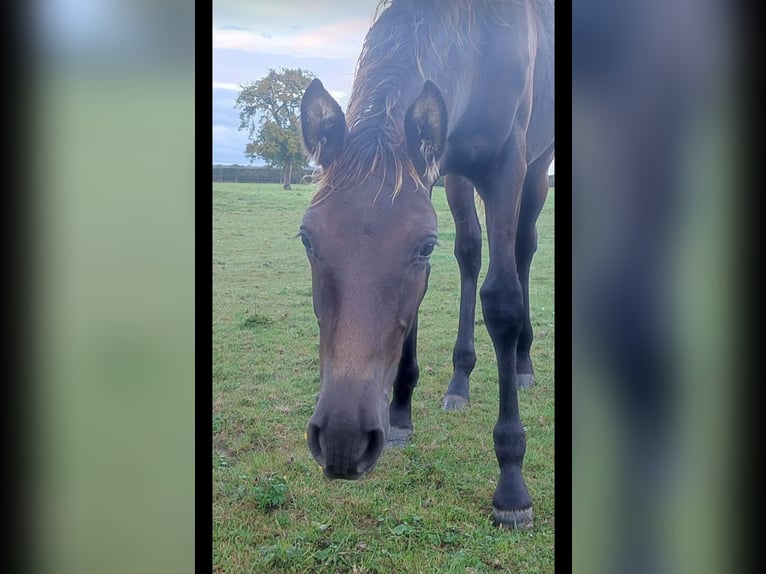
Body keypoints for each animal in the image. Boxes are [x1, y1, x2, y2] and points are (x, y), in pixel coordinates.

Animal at [296, 0, 556, 532]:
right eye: (308, 238)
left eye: (423, 246)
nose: (343, 438)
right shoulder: (434, 170)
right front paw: (399, 413)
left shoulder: (508, 165)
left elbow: (502, 302)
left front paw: (512, 486)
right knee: (471, 253)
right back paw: (460, 381)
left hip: (538, 171)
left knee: (522, 251)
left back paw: (522, 362)